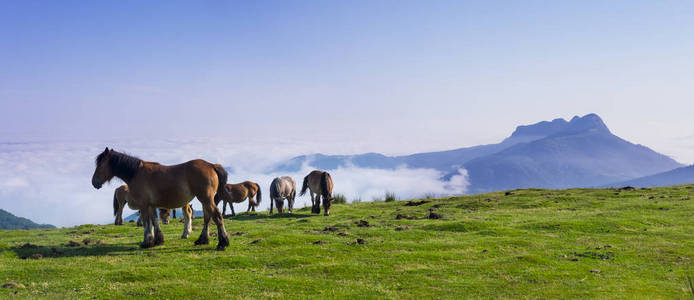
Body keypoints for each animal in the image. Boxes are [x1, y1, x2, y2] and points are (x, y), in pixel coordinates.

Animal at [91, 148, 234, 251]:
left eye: (100, 165)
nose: (94, 182)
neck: (136, 173)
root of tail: (211, 165)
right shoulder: (151, 205)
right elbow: (155, 221)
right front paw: (158, 240)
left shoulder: (144, 205)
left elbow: (147, 224)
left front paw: (146, 242)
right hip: (205, 200)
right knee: (207, 217)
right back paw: (202, 240)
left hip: (206, 198)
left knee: (217, 216)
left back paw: (222, 243)